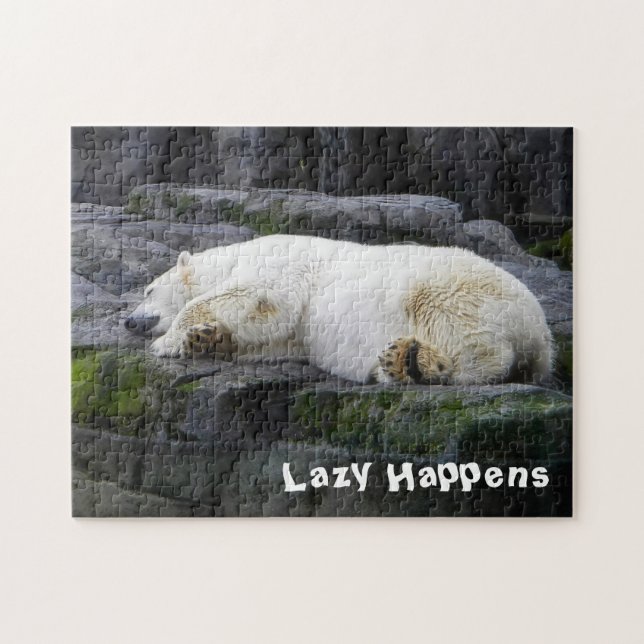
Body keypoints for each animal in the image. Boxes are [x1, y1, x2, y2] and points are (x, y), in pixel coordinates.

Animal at [125, 234, 553, 386]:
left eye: (148, 289)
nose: (128, 321)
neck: (232, 256)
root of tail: (542, 336)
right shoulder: (290, 335)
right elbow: (266, 336)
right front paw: (204, 340)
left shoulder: (278, 264)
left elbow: (251, 294)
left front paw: (169, 341)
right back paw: (395, 364)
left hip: (454, 289)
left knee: (469, 336)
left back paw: (419, 364)